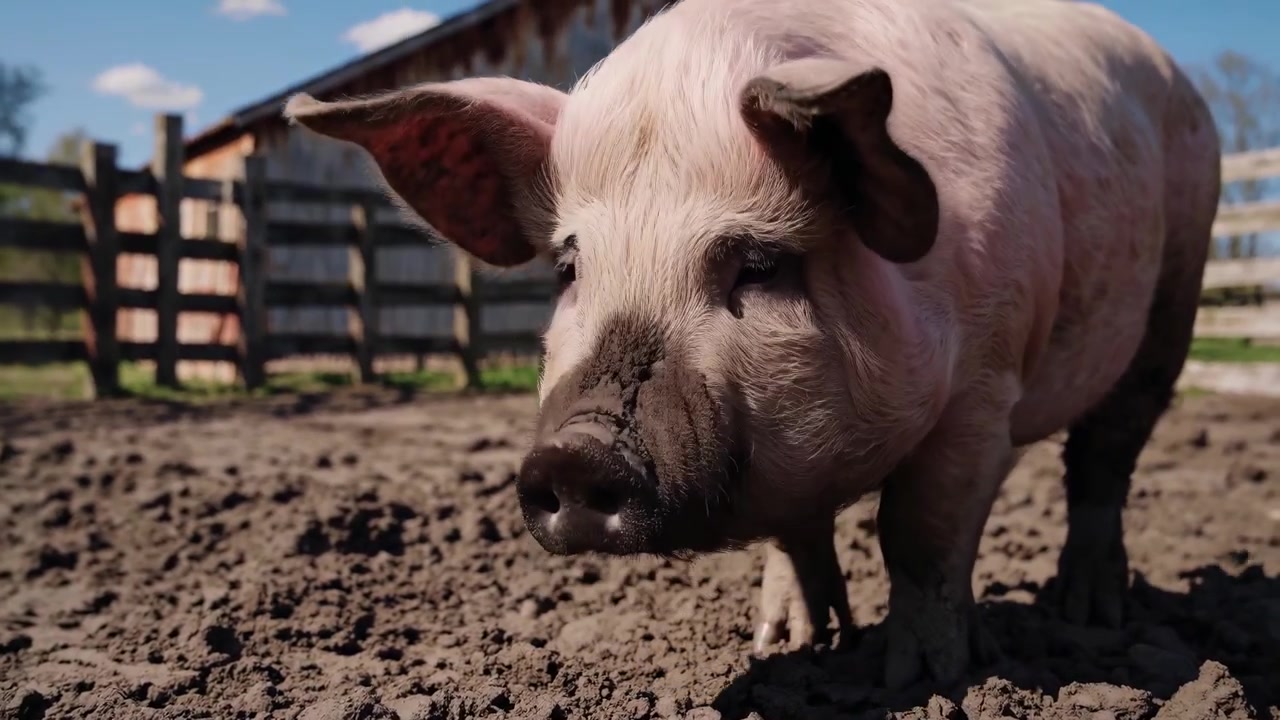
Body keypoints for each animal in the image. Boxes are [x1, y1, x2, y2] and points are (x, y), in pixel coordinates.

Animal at [284, 0, 1220, 689]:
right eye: (569, 267)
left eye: (760, 265)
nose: (576, 451)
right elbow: (797, 533)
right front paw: (788, 645)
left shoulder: (984, 389)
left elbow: (919, 534)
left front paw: (923, 680)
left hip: (1178, 285)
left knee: (1105, 457)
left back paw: (1086, 612)